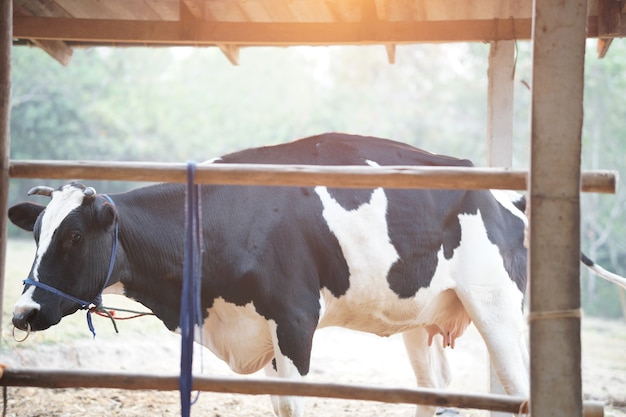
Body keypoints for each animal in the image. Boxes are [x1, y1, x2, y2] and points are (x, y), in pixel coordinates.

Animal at [8, 133, 624, 416]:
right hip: (423, 323)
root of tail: (507, 194)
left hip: (495, 306)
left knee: (519, 391)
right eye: (35, 233)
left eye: (73, 236)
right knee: (435, 394)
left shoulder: (296, 321)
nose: (22, 311)